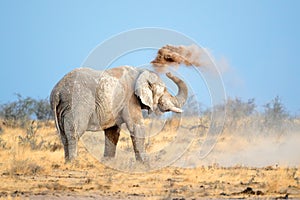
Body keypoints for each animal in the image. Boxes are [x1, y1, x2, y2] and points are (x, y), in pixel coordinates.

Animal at [51, 65, 188, 162]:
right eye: (164, 90)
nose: (168, 72)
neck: (140, 72)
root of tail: (57, 91)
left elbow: (112, 132)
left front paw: (108, 162)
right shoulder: (130, 99)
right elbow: (136, 126)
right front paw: (146, 164)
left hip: (63, 107)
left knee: (63, 136)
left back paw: (67, 163)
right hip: (77, 103)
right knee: (74, 133)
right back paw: (74, 162)